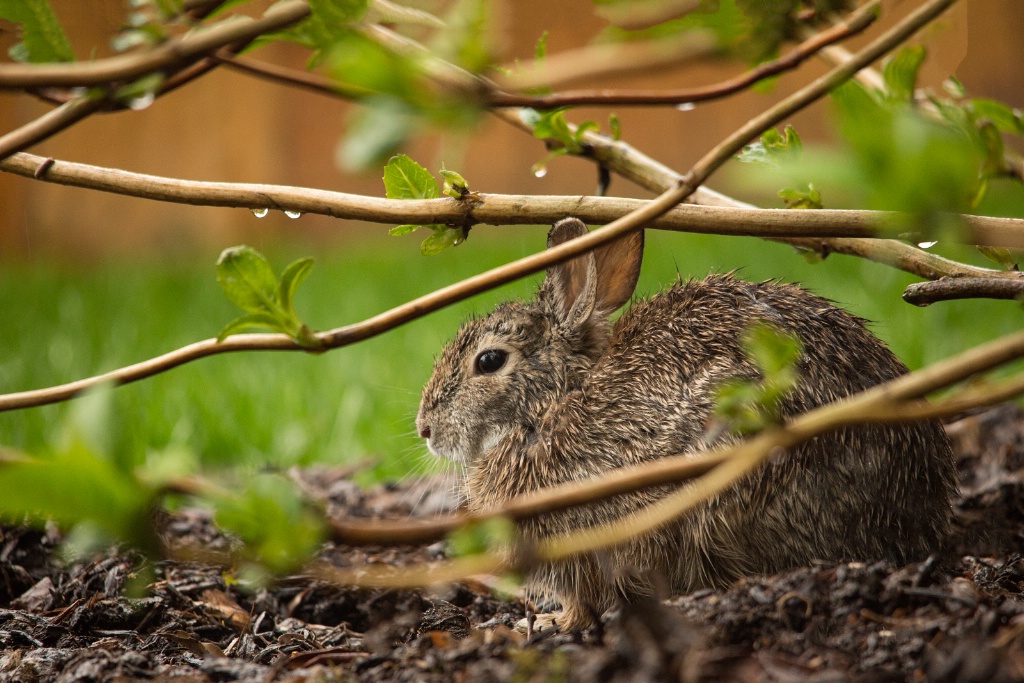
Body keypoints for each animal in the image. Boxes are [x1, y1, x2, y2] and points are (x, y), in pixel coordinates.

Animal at [411, 218, 954, 630]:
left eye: (489, 361)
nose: (425, 429)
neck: (553, 401)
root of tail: (915, 510)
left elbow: (582, 599)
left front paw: (554, 624)